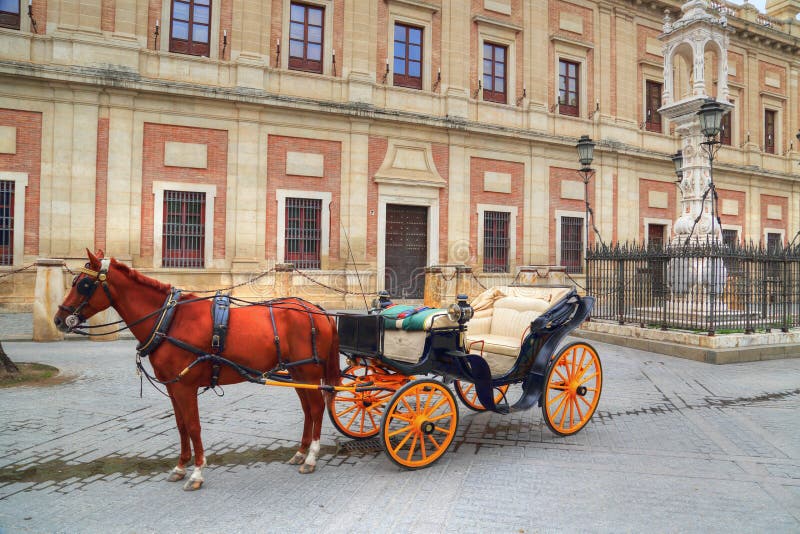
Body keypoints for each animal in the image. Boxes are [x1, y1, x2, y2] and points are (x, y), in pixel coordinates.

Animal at [53, 251, 340, 490]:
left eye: (83, 284)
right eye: (75, 281)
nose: (58, 319)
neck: (170, 321)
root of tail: (318, 311)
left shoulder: (185, 386)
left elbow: (193, 426)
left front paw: (197, 472)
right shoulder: (173, 386)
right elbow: (181, 427)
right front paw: (181, 466)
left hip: (309, 373)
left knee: (316, 408)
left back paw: (311, 457)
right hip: (298, 375)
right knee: (307, 410)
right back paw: (301, 452)